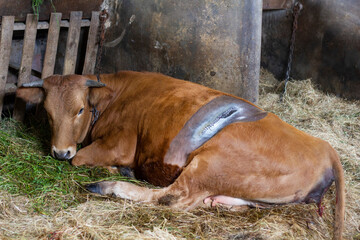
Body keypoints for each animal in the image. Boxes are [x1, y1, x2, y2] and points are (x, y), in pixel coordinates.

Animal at [17, 70, 346, 239]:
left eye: (80, 109)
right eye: (47, 112)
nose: (59, 151)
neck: (115, 96)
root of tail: (324, 146)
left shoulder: (120, 144)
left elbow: (81, 158)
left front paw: (111, 170)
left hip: (210, 161)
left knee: (171, 197)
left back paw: (106, 185)